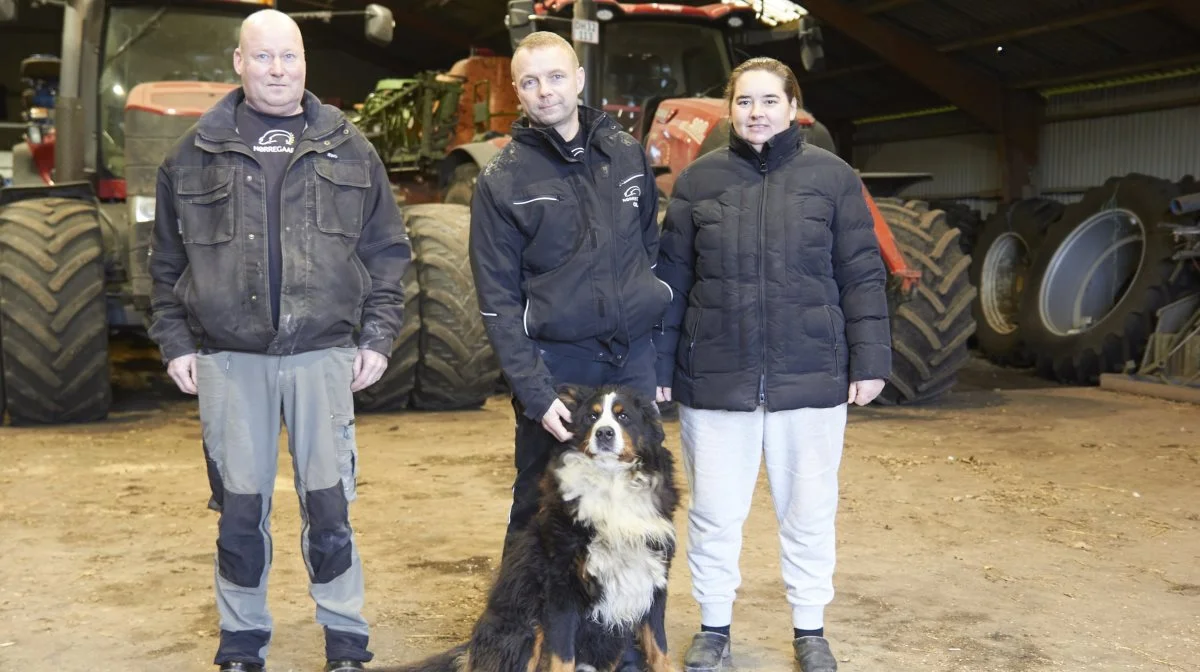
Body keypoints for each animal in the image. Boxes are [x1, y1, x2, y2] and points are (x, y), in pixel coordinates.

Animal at [379, 384, 681, 672]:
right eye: (592, 417)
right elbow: (563, 658)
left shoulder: (652, 580)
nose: (604, 433)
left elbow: (659, 649)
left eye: (623, 416)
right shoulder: (562, 591)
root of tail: (471, 647)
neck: (610, 485)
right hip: (526, 624)